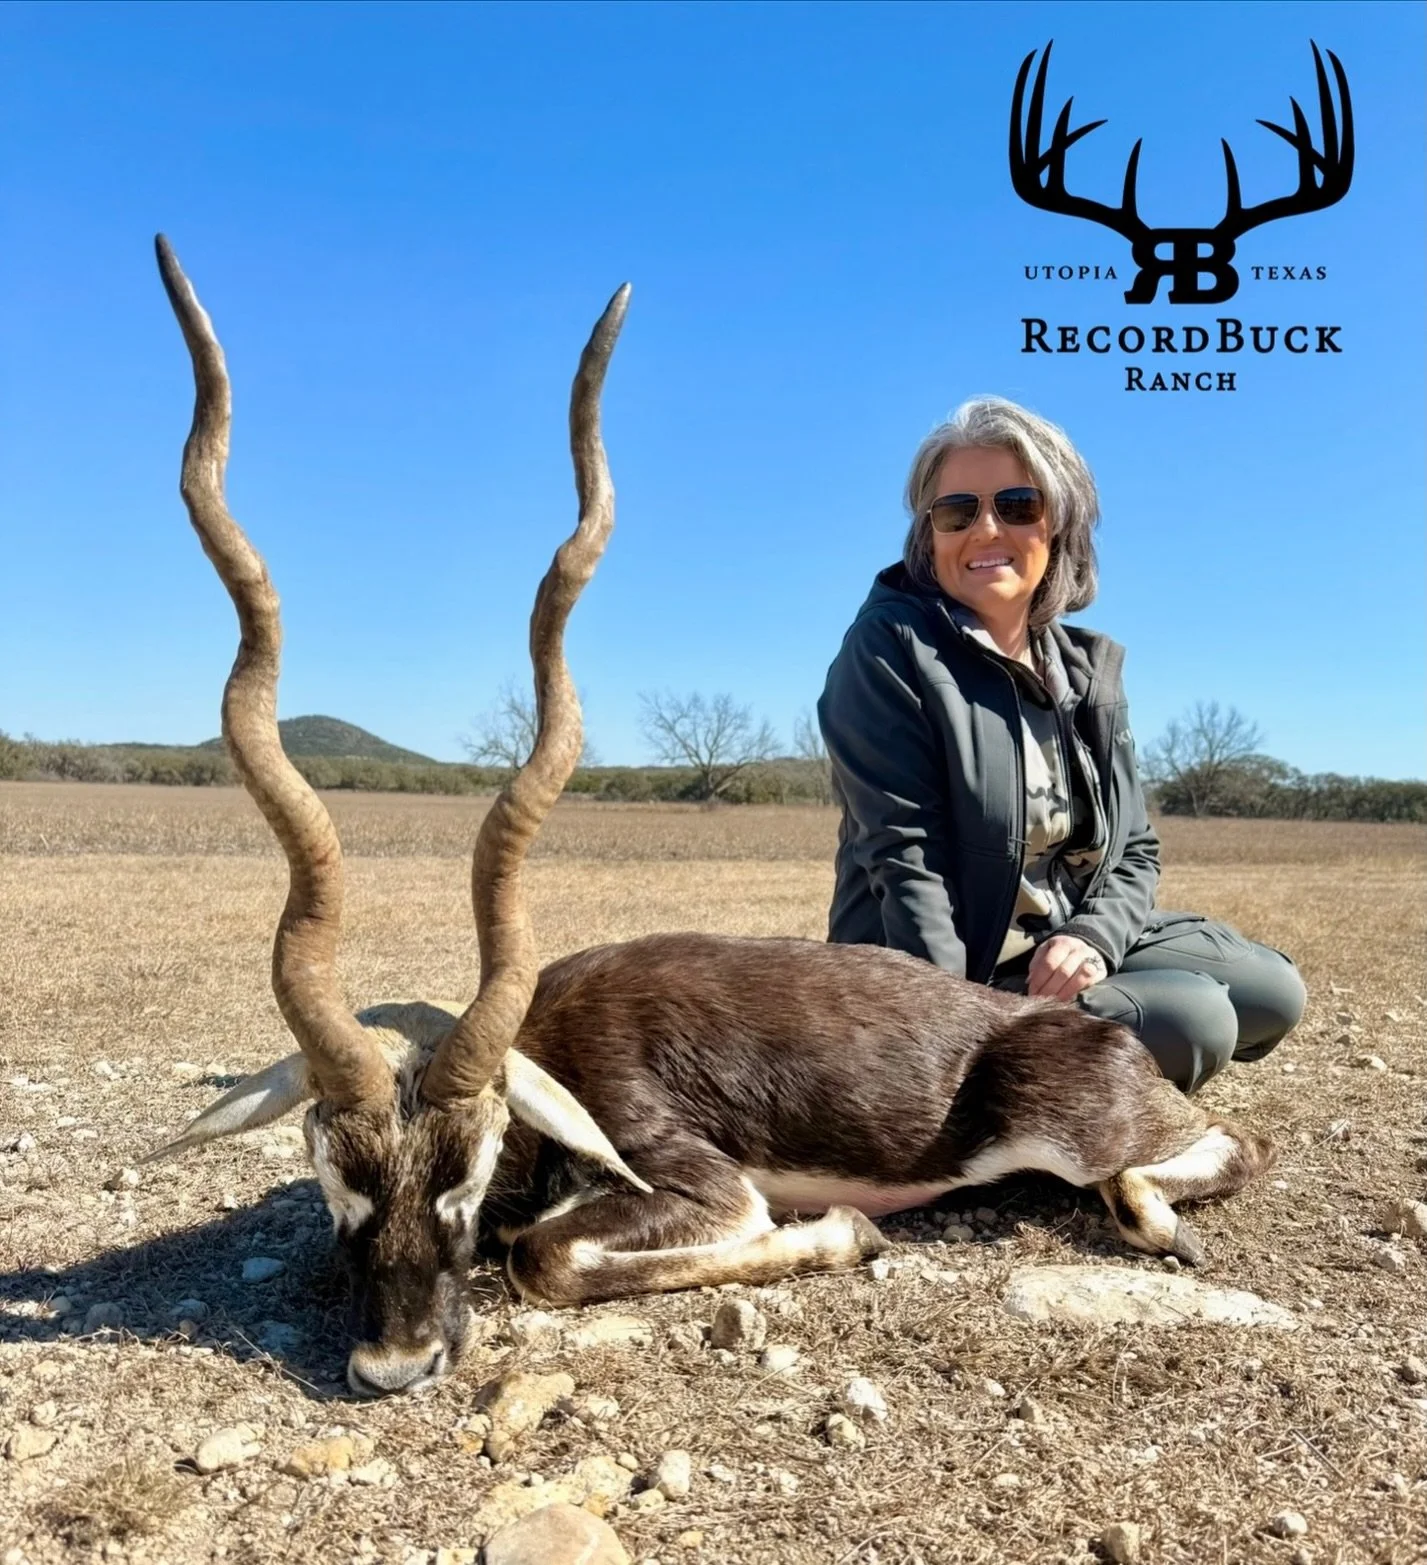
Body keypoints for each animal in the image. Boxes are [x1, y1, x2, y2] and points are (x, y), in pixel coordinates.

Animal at [150, 237, 1275, 1399]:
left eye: (469, 1166)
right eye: (334, 1172)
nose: (395, 1360)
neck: (551, 1048)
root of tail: (1074, 1025)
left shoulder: (698, 1183)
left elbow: (544, 1253)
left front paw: (841, 1231)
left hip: (1084, 1131)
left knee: (1223, 1149)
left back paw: (1151, 1212)